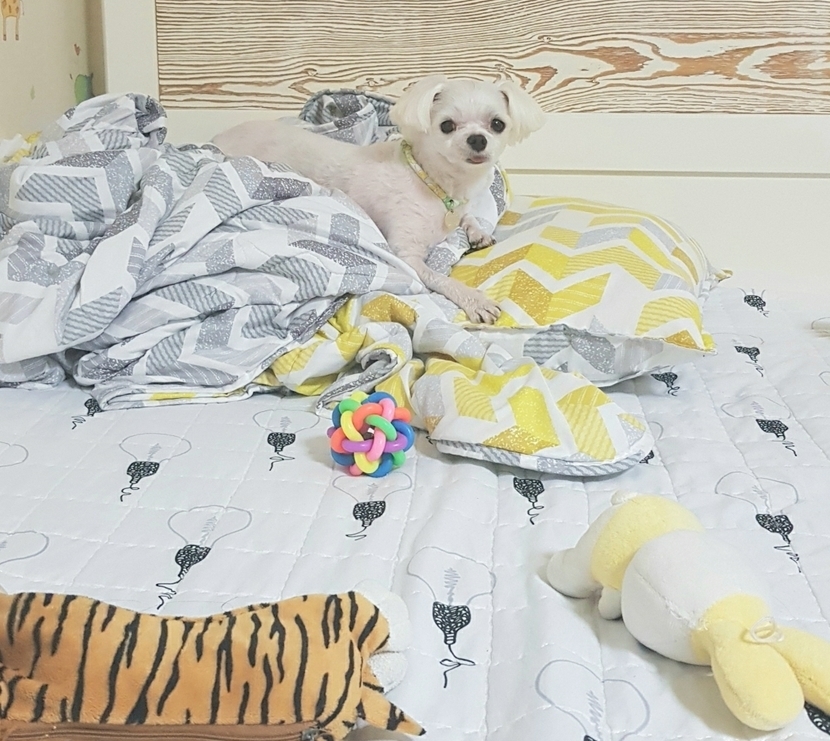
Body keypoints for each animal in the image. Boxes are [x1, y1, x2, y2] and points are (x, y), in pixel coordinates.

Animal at [212, 75, 545, 323]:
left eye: (497, 124)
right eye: (447, 126)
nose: (477, 139)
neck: (433, 182)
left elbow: (468, 216)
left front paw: (477, 231)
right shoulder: (408, 257)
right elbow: (441, 279)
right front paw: (475, 300)